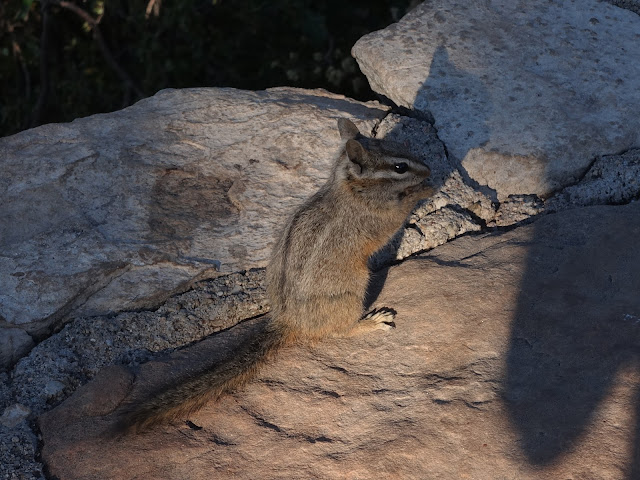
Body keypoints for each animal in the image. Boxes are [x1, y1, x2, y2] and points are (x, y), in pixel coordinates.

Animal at [120, 117, 436, 432]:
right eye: (400, 167)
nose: (429, 170)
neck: (349, 186)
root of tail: (288, 320)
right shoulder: (379, 218)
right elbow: (397, 217)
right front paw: (424, 190)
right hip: (352, 291)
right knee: (338, 331)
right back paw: (371, 322)